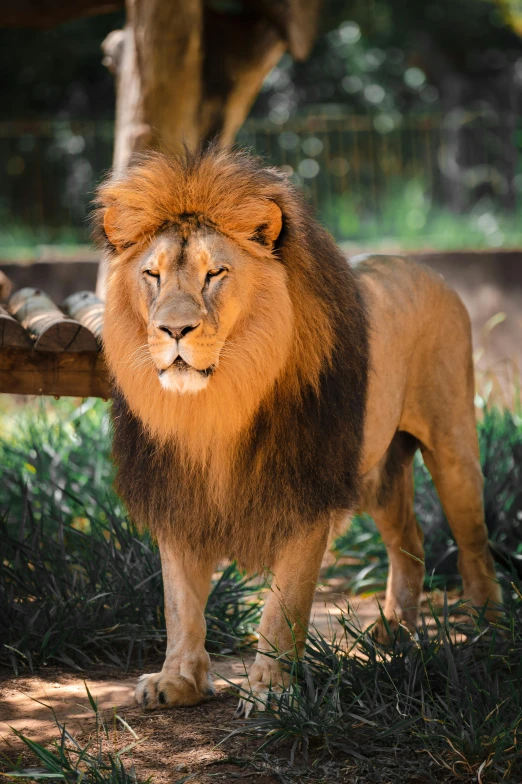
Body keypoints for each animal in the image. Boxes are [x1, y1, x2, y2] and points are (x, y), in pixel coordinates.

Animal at [93, 144, 500, 712]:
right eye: (151, 274)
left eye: (215, 273)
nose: (173, 329)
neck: (215, 407)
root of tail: (417, 263)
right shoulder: (176, 493)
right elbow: (179, 603)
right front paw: (177, 680)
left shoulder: (306, 491)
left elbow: (283, 607)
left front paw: (271, 692)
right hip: (375, 472)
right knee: (410, 542)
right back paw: (394, 632)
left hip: (452, 446)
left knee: (474, 543)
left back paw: (489, 630)